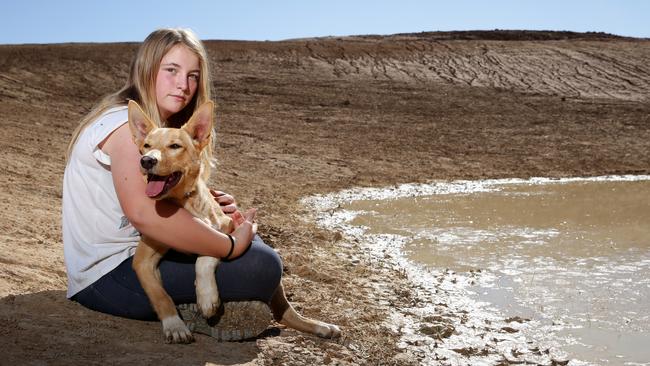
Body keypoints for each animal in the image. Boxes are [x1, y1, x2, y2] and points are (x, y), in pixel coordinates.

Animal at [126, 100, 340, 344]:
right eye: (146, 145)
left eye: (174, 146)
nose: (146, 160)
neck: (183, 202)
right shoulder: (143, 260)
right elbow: (159, 294)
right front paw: (174, 325)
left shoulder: (227, 225)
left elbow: (207, 255)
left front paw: (207, 296)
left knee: (285, 311)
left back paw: (321, 327)